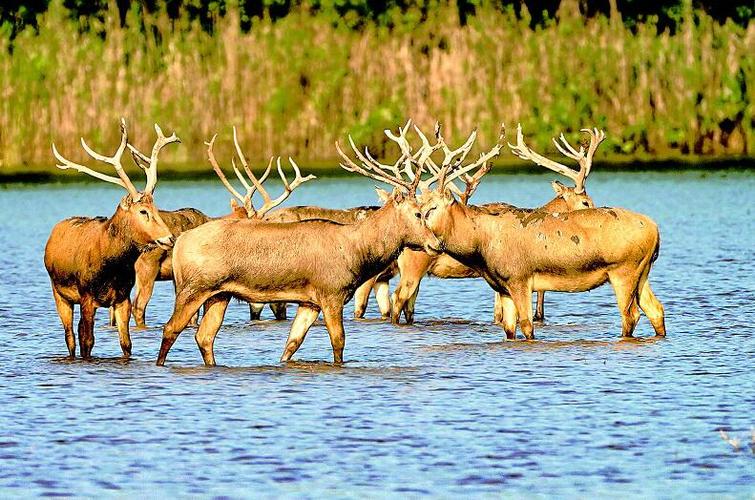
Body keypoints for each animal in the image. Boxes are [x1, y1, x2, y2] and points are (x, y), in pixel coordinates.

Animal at [44, 119, 179, 359]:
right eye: (143, 211)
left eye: (156, 208)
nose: (169, 237)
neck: (111, 267)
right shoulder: (87, 296)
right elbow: (87, 341)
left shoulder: (122, 298)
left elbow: (126, 344)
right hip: (59, 293)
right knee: (70, 337)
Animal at [155, 129, 452, 367]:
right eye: (418, 213)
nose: (436, 243)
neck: (356, 253)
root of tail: (179, 242)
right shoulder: (331, 292)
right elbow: (338, 341)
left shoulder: (309, 302)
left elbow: (292, 343)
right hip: (194, 287)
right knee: (171, 328)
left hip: (220, 294)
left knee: (204, 336)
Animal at [418, 126, 666, 341]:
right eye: (419, 208)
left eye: (432, 208)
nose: (425, 239)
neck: (480, 245)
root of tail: (655, 229)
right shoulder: (503, 286)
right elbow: (509, 330)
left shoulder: (519, 278)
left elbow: (527, 326)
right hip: (642, 271)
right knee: (656, 309)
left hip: (623, 270)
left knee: (631, 314)